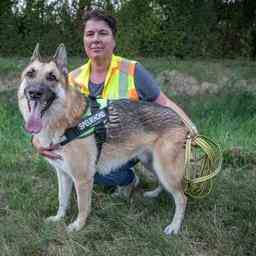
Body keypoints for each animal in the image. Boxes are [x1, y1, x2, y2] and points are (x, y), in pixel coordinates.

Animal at [18, 43, 189, 234]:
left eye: (51, 77)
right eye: (30, 74)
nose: (34, 93)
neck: (64, 121)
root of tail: (178, 118)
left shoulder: (83, 178)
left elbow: (83, 206)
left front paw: (78, 226)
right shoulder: (63, 174)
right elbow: (62, 200)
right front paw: (58, 218)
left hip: (164, 169)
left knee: (182, 198)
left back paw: (174, 226)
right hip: (152, 164)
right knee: (163, 185)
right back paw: (153, 194)